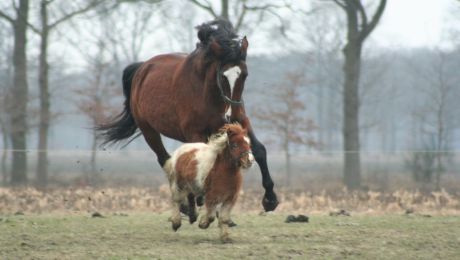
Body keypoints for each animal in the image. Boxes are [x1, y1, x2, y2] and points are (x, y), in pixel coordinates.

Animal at [97, 18, 276, 213]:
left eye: (244, 75)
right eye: (223, 76)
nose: (230, 114)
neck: (207, 94)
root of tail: (142, 68)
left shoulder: (241, 123)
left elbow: (259, 150)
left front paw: (270, 199)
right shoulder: (195, 132)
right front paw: (202, 198)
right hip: (149, 131)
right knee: (165, 160)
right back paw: (186, 204)